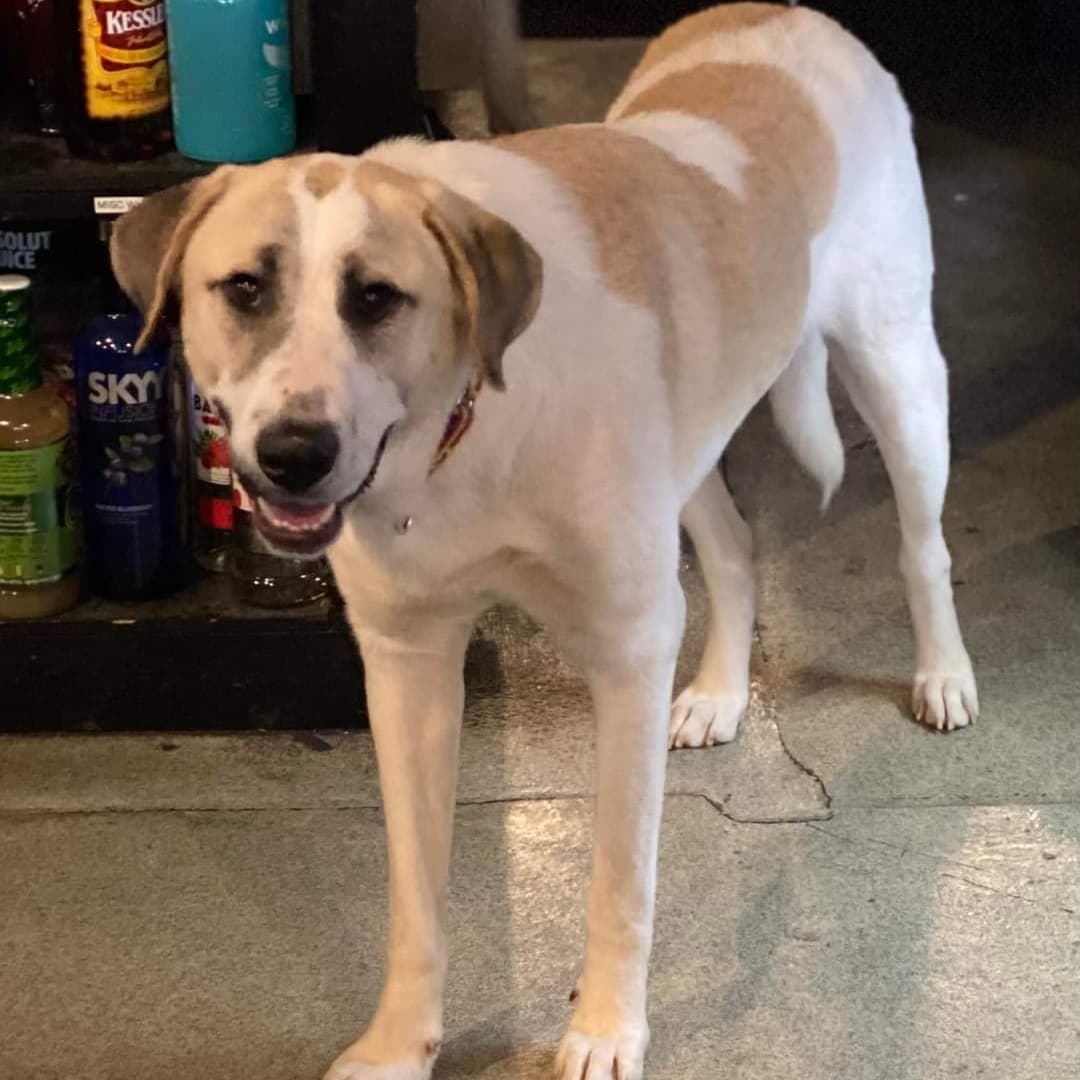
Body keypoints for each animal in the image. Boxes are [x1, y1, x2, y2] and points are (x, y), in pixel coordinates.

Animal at [109, 4, 980, 1075]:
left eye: (375, 298)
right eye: (242, 289)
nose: (293, 456)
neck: (468, 422)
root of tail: (783, 14)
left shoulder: (628, 652)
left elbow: (621, 883)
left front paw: (605, 1031)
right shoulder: (408, 664)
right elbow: (416, 897)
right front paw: (400, 1043)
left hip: (899, 376)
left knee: (923, 545)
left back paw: (943, 676)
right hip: (689, 452)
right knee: (733, 549)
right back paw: (722, 693)